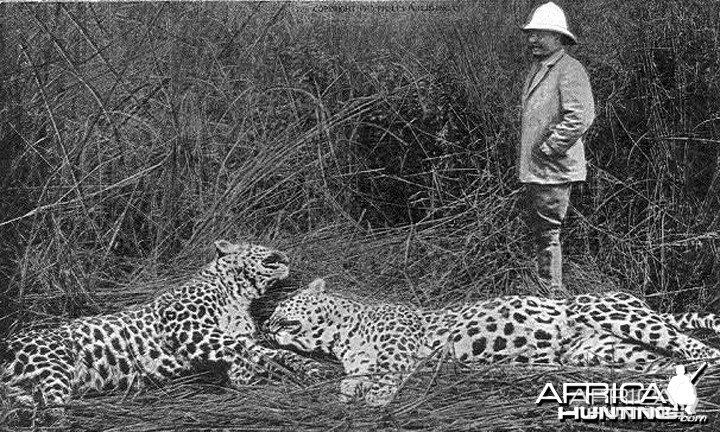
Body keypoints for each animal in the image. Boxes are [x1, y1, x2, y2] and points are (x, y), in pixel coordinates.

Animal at [0, 238, 320, 420]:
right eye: (265, 248)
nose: (286, 254)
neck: (237, 294)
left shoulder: (242, 337)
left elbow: (270, 352)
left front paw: (311, 369)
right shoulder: (187, 326)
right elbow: (238, 350)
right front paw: (245, 378)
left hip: (30, 386)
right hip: (53, 364)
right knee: (52, 411)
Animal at [264, 278, 720, 406]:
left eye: (282, 305)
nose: (264, 324)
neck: (340, 334)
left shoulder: (399, 349)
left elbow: (388, 372)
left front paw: (375, 398)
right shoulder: (358, 361)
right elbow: (353, 377)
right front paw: (348, 392)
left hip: (617, 315)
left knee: (697, 346)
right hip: (607, 349)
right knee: (659, 360)